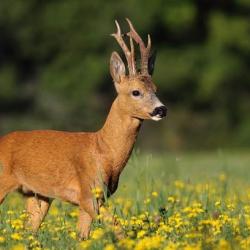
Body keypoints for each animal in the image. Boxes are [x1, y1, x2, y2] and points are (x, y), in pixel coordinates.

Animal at [0, 19, 168, 238]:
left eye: (155, 89)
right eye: (136, 92)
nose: (161, 109)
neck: (103, 151)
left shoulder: (96, 197)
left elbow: (83, 236)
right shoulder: (87, 192)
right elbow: (117, 228)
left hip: (38, 195)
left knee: (29, 230)